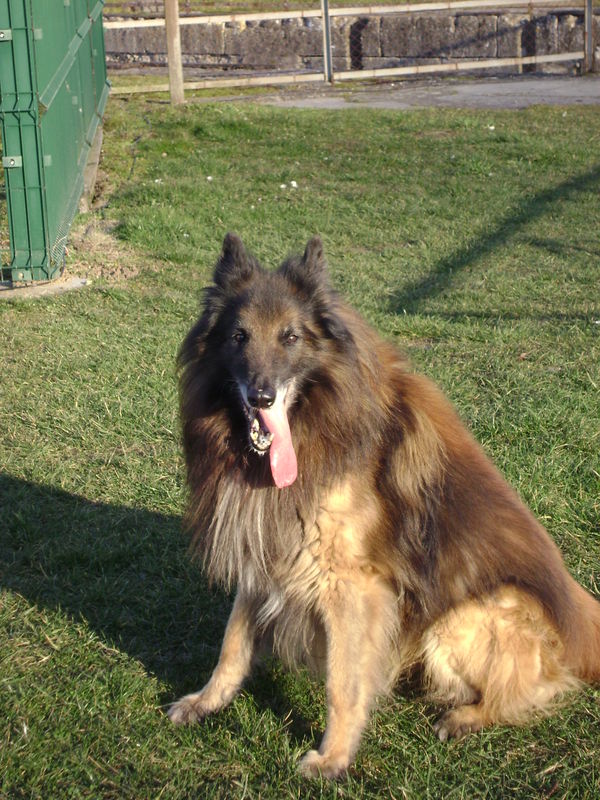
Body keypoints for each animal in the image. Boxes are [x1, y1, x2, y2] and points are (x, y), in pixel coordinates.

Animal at [168, 234, 600, 780]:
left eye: (290, 336)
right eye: (238, 336)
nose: (261, 395)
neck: (318, 418)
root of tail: (582, 624)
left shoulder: (351, 586)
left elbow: (343, 682)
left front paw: (333, 758)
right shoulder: (272, 543)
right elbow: (233, 643)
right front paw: (206, 701)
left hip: (460, 618)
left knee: (534, 689)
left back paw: (465, 716)